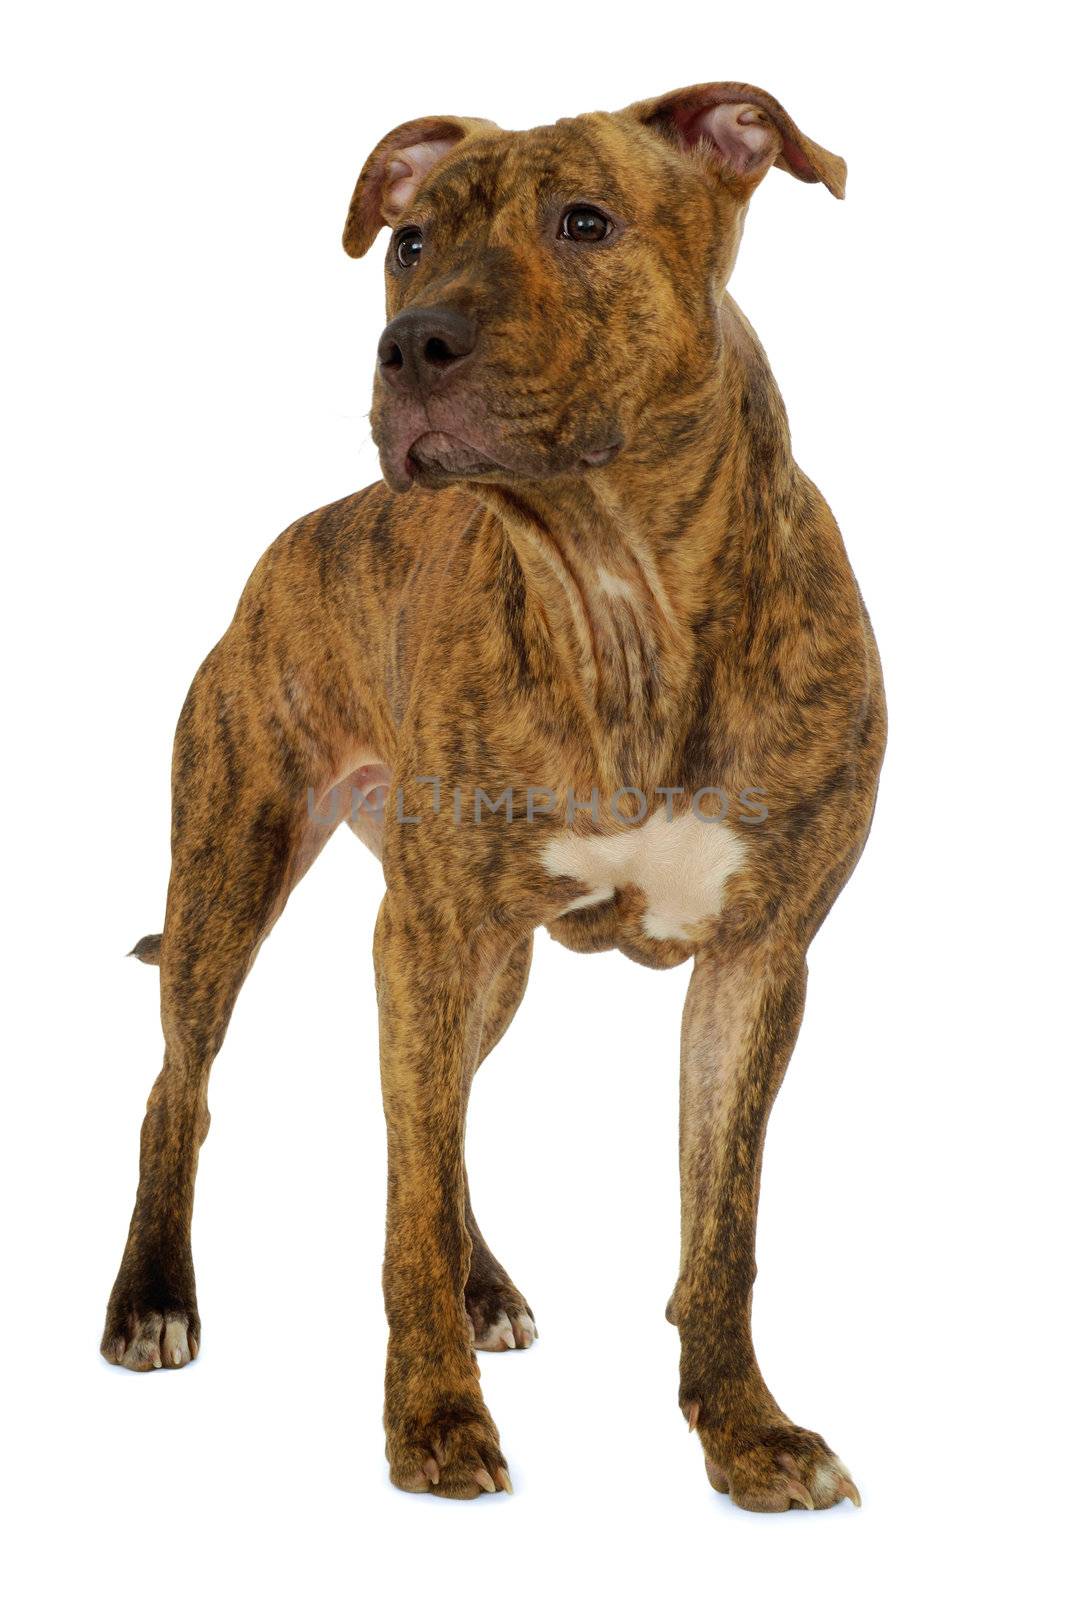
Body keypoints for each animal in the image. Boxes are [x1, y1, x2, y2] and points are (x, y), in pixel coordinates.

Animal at [102, 84, 883, 1510]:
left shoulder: (756, 962)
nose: (411, 342)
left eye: (585, 222)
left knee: (448, 1116)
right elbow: (404, 1194)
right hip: (233, 880)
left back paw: (483, 1284)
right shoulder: (418, 935)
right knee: (185, 1089)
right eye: (408, 243)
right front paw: (433, 1420)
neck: (613, 587)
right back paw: (151, 1298)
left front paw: (745, 1430)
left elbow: (721, 1224)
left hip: (485, 960)